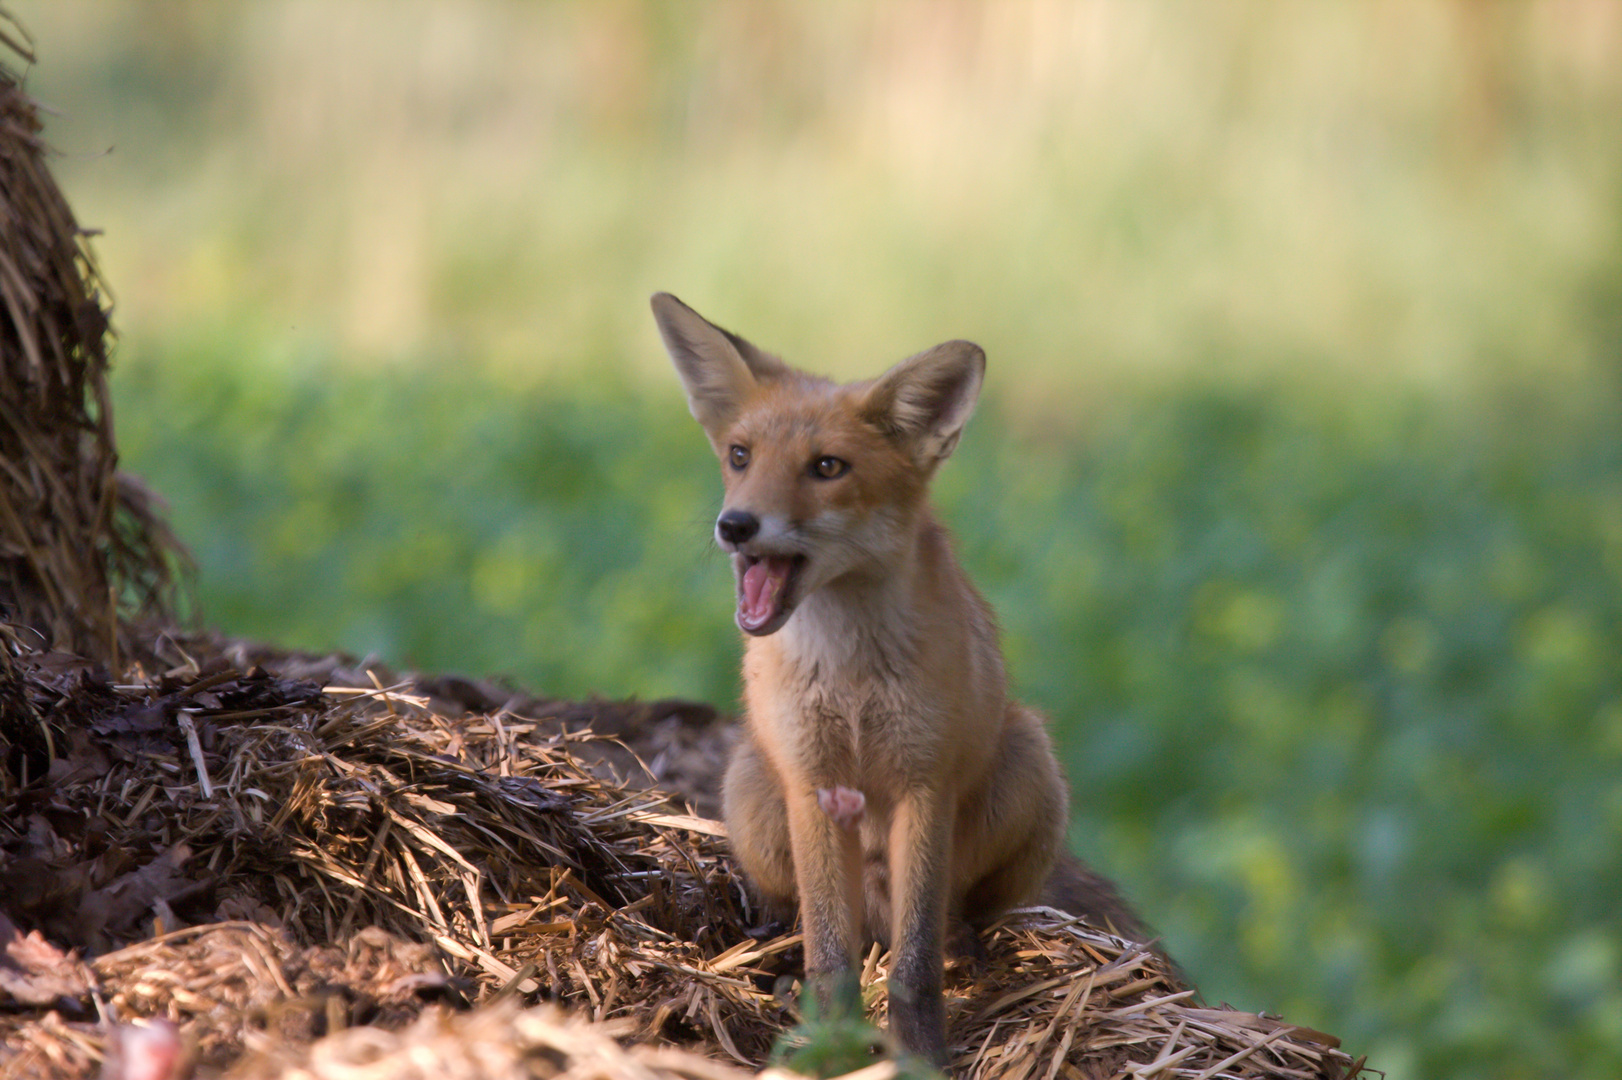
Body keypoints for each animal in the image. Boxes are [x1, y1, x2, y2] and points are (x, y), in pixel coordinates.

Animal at [652, 290, 1148, 1063]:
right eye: (740, 456)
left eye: (827, 467)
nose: (735, 525)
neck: (850, 673)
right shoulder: (813, 780)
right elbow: (831, 951)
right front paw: (832, 1046)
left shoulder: (925, 781)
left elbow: (914, 964)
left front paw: (919, 1057)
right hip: (753, 787)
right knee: (815, 921)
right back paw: (776, 952)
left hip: (1029, 762)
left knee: (955, 917)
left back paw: (965, 943)